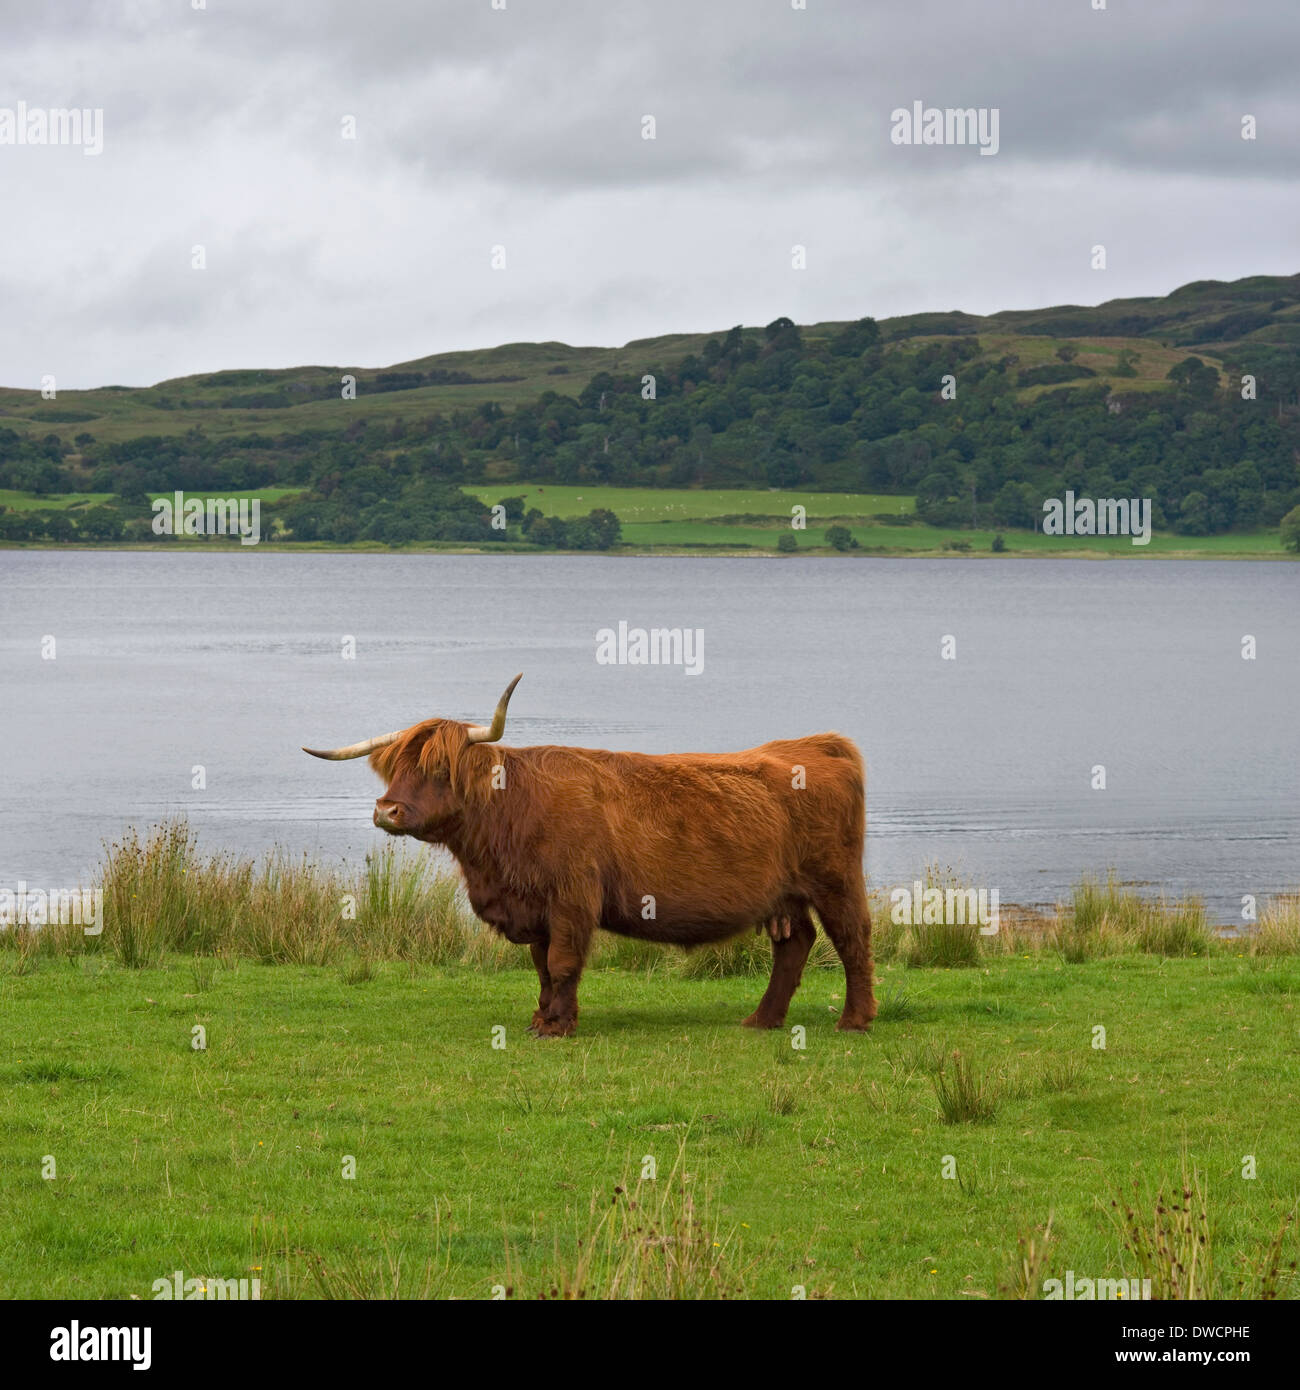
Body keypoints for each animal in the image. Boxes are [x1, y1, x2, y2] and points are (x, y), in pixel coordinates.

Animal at [304, 672, 873, 1034]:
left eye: (439, 770)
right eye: (395, 768)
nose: (387, 811)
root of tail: (816, 744)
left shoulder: (572, 898)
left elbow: (562, 963)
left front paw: (555, 1026)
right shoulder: (533, 907)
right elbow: (540, 966)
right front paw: (544, 1017)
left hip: (835, 879)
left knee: (852, 940)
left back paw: (855, 1020)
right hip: (786, 893)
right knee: (794, 944)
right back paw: (762, 1020)